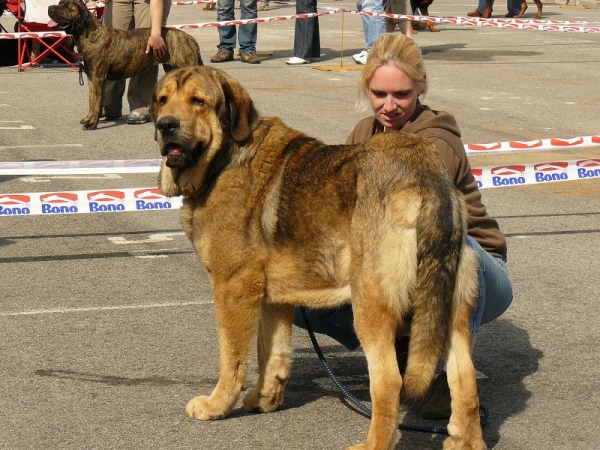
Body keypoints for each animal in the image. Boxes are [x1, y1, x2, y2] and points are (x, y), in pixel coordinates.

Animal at [47, 0, 202, 129]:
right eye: (60, 3)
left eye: (67, 7)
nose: (50, 7)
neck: (89, 35)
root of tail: (191, 39)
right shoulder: (91, 78)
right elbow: (91, 101)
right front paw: (88, 119)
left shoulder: (98, 78)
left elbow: (97, 103)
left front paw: (92, 124)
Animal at [152, 67, 486, 450]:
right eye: (162, 100)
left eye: (198, 101)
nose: (165, 125)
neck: (224, 159)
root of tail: (427, 178)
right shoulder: (274, 298)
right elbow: (271, 353)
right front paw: (263, 399)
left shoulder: (232, 289)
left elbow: (232, 358)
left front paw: (217, 405)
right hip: (448, 309)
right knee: (464, 378)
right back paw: (465, 441)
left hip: (370, 306)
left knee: (389, 381)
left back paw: (372, 445)